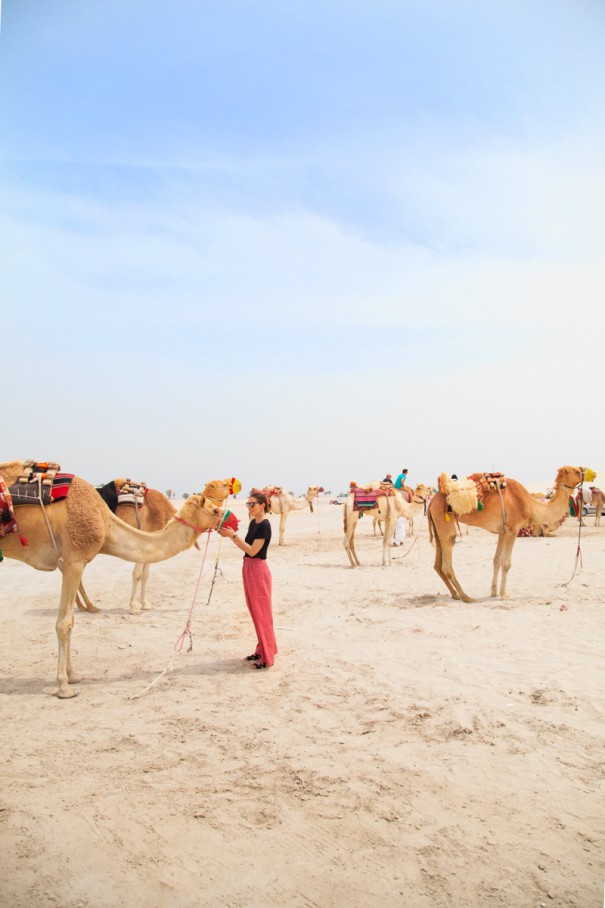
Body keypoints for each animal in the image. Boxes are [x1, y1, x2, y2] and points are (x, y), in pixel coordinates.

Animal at [0, 462, 234, 704]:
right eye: (214, 510)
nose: (234, 520)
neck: (103, 519)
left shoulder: (73, 560)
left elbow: (72, 620)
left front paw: (73, 675)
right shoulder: (75, 558)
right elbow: (65, 623)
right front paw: (64, 686)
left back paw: (90, 606)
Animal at [428, 468, 592, 604]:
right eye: (577, 471)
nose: (589, 472)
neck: (531, 505)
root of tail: (430, 503)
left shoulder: (503, 531)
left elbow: (496, 560)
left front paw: (494, 592)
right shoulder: (513, 529)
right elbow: (506, 563)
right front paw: (504, 595)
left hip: (438, 527)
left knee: (437, 565)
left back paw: (455, 594)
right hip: (445, 524)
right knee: (447, 562)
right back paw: (466, 597)